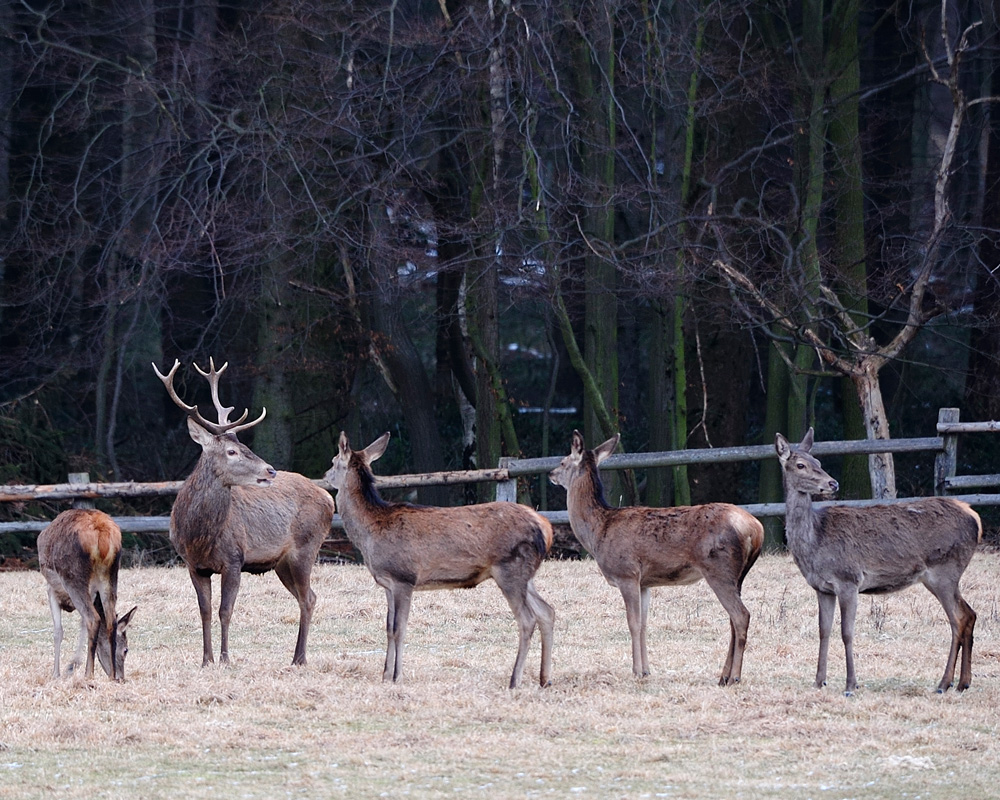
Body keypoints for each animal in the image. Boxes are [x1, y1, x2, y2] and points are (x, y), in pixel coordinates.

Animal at [36, 512, 138, 680]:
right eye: (126, 650)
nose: (121, 679)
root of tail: (102, 536)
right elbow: (81, 624)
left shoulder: (51, 590)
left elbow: (58, 631)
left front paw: (57, 673)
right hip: (111, 576)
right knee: (110, 620)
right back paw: (109, 675)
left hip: (73, 578)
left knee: (93, 619)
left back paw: (88, 673)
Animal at [150, 360, 334, 664]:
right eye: (232, 451)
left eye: (246, 446)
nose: (270, 470)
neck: (199, 536)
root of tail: (329, 497)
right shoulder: (193, 565)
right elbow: (205, 611)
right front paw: (206, 660)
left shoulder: (234, 558)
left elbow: (225, 611)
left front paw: (225, 659)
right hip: (282, 562)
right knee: (307, 596)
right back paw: (296, 656)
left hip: (306, 548)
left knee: (308, 598)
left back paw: (299, 658)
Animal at [328, 432, 560, 688]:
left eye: (333, 461)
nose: (325, 475)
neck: (370, 532)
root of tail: (546, 527)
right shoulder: (387, 583)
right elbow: (388, 628)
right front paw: (385, 675)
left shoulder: (404, 578)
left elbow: (400, 629)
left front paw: (397, 675)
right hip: (526, 576)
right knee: (547, 611)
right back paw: (545, 679)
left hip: (511, 569)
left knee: (527, 619)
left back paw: (514, 680)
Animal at [552, 428, 760, 684]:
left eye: (563, 461)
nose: (551, 473)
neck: (598, 532)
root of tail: (756, 529)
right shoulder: (645, 583)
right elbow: (643, 624)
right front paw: (647, 670)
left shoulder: (627, 573)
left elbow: (632, 623)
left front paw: (636, 671)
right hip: (737, 576)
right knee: (733, 618)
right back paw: (723, 676)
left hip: (718, 568)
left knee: (741, 615)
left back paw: (734, 677)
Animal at [776, 428, 980, 696]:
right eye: (801, 464)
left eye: (818, 462)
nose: (833, 483)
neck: (814, 542)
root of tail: (975, 517)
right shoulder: (823, 588)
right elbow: (823, 631)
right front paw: (819, 681)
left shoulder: (848, 579)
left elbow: (847, 633)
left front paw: (851, 685)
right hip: (945, 576)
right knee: (970, 614)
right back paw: (963, 682)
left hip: (944, 570)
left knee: (958, 619)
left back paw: (944, 683)